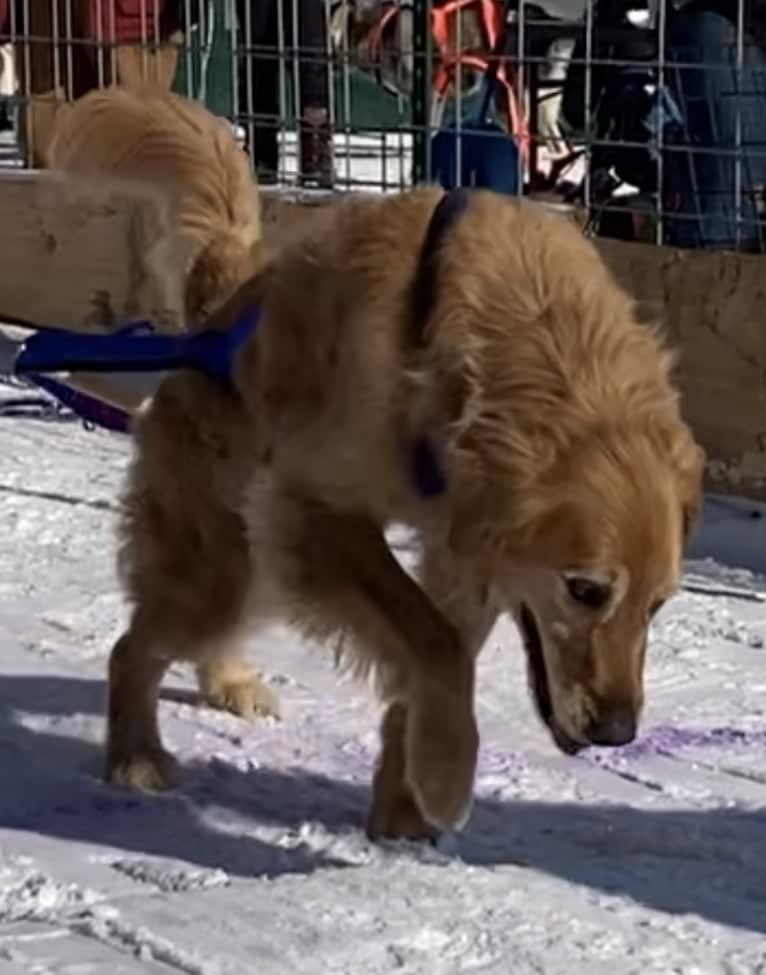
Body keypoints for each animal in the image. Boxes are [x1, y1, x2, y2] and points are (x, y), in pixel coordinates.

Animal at [108, 187, 708, 844]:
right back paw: (135, 757)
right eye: (584, 590)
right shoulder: (315, 510)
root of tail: (215, 318)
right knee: (131, 649)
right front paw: (446, 776)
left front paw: (403, 800)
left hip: (256, 569)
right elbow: (436, 647)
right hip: (222, 568)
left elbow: (431, 657)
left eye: (658, 605)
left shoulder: (461, 554)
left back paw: (230, 685)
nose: (617, 733)